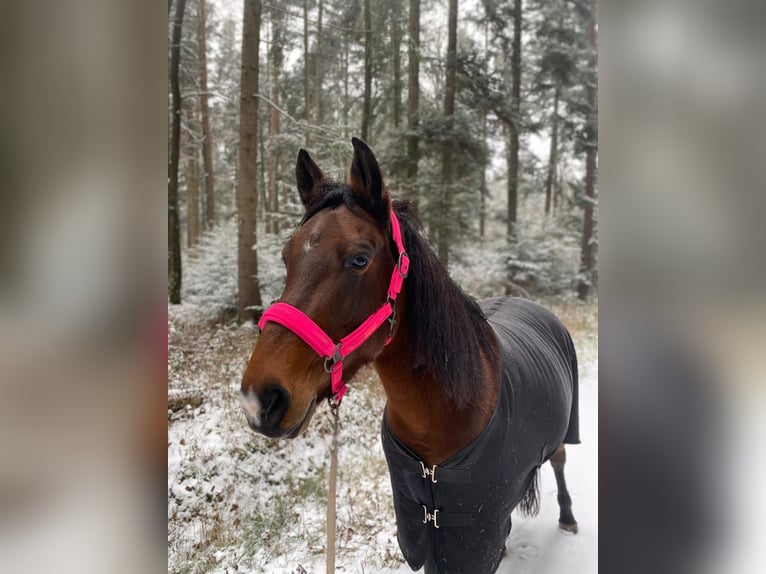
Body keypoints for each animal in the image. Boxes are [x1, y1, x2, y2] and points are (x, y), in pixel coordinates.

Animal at [243, 140, 580, 574]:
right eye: (286, 256)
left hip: (563, 433)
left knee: (560, 462)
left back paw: (568, 517)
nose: (259, 400)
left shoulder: (471, 535)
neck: (445, 414)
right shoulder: (422, 526)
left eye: (359, 259)